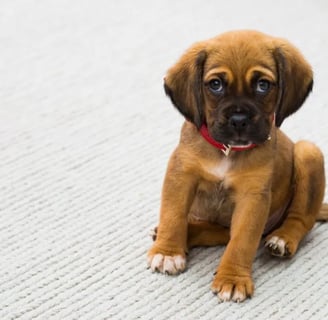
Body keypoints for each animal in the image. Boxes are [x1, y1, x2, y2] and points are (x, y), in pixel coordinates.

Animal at [147, 30, 326, 302]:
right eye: (215, 85)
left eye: (263, 85)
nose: (239, 120)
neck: (227, 151)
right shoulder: (181, 175)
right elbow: (173, 215)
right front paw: (167, 252)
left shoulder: (252, 198)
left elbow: (242, 242)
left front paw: (232, 279)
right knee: (217, 232)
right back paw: (187, 233)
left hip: (308, 153)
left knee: (301, 219)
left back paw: (283, 238)